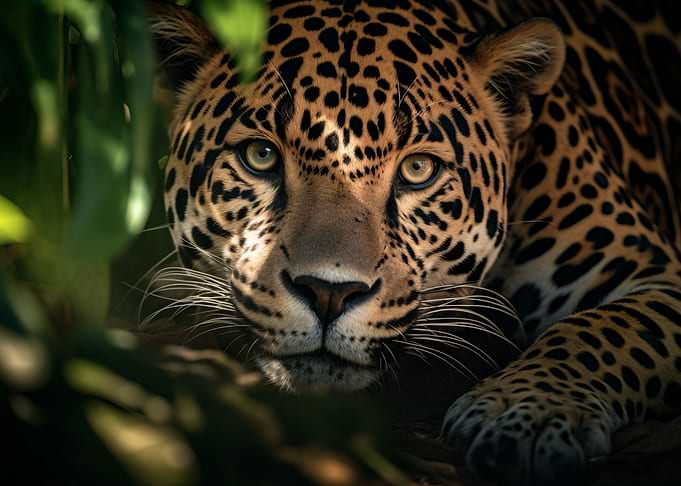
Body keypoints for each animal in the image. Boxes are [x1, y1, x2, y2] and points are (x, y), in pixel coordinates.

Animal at [150, 0, 681, 484]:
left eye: (418, 169)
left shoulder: (653, 273)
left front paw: (528, 411)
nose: (328, 293)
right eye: (260, 155)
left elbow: (600, 329)